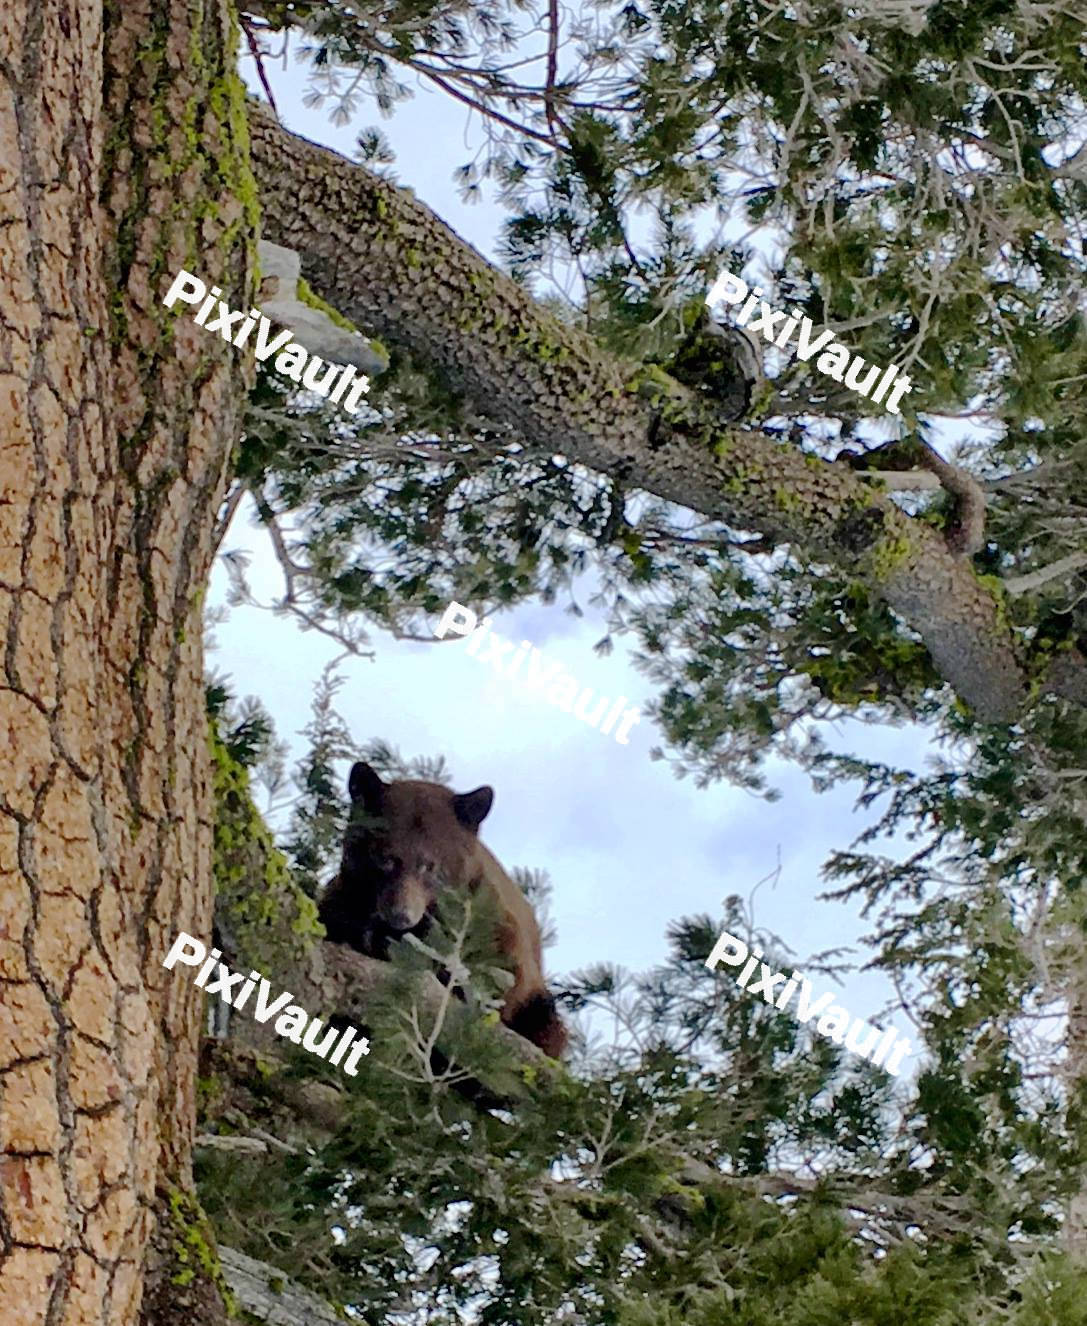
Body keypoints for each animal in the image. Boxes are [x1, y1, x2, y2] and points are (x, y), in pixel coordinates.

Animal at [318, 761, 567, 1059]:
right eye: (385, 859)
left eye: (429, 865)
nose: (401, 915)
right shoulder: (344, 898)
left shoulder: (490, 917)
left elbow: (505, 976)